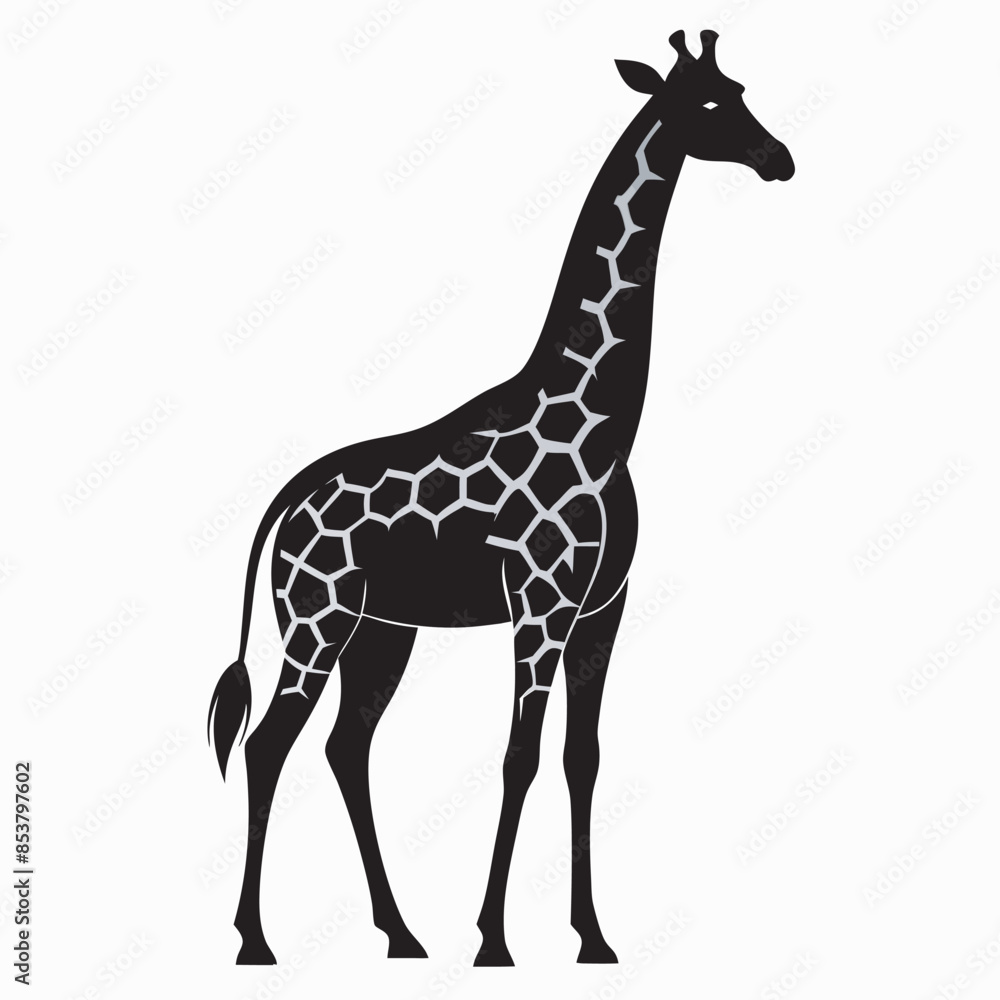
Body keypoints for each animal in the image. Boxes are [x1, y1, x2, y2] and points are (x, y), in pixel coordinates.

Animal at [208, 28, 794, 967]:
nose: (780, 160)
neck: (601, 421)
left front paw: (593, 937)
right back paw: (257, 941)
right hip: (315, 616)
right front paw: (492, 940)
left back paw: (401, 934)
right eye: (709, 103)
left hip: (382, 630)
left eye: (740, 89)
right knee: (269, 745)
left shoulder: (602, 607)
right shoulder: (541, 601)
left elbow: (581, 756)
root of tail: (285, 503)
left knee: (344, 746)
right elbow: (519, 755)